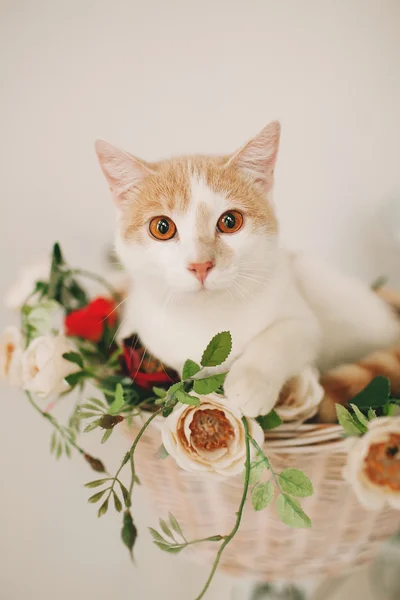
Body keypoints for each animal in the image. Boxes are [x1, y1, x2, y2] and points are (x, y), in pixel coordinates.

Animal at [94, 122, 400, 418]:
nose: (200, 265)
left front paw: (250, 383)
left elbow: (281, 337)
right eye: (162, 227)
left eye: (230, 221)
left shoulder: (301, 317)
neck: (206, 314)